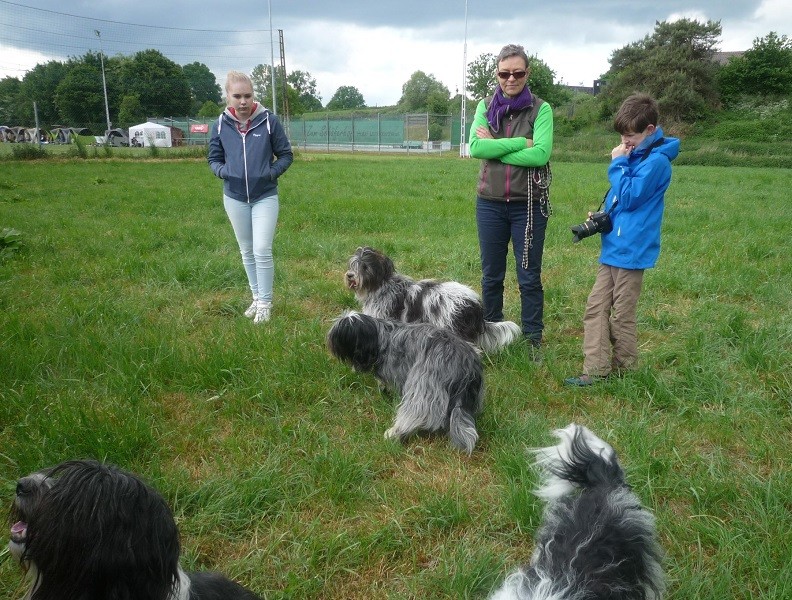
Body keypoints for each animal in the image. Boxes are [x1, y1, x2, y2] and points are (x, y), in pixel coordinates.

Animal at [326, 310, 482, 454]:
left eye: (338, 334)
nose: (329, 341)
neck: (381, 335)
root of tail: (465, 364)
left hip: (424, 384)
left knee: (418, 413)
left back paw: (395, 433)